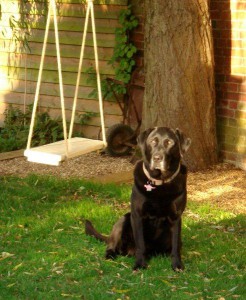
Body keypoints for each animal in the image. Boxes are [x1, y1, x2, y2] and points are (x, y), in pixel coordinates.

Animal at [85, 125, 191, 270]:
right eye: (153, 141)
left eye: (169, 142)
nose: (157, 158)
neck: (159, 182)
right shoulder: (138, 215)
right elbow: (140, 243)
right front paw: (140, 264)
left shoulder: (175, 217)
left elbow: (175, 246)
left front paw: (177, 265)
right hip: (124, 219)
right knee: (112, 245)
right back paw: (111, 255)